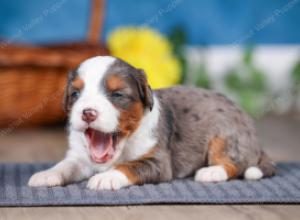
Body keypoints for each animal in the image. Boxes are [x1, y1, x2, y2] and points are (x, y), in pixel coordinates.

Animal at [28, 55, 276, 190]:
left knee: (236, 163)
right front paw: (46, 174)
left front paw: (106, 177)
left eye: (117, 95)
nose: (87, 113)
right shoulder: (79, 156)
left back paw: (211, 173)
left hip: (225, 135)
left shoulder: (158, 161)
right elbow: (66, 165)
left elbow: (129, 166)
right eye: (76, 94)